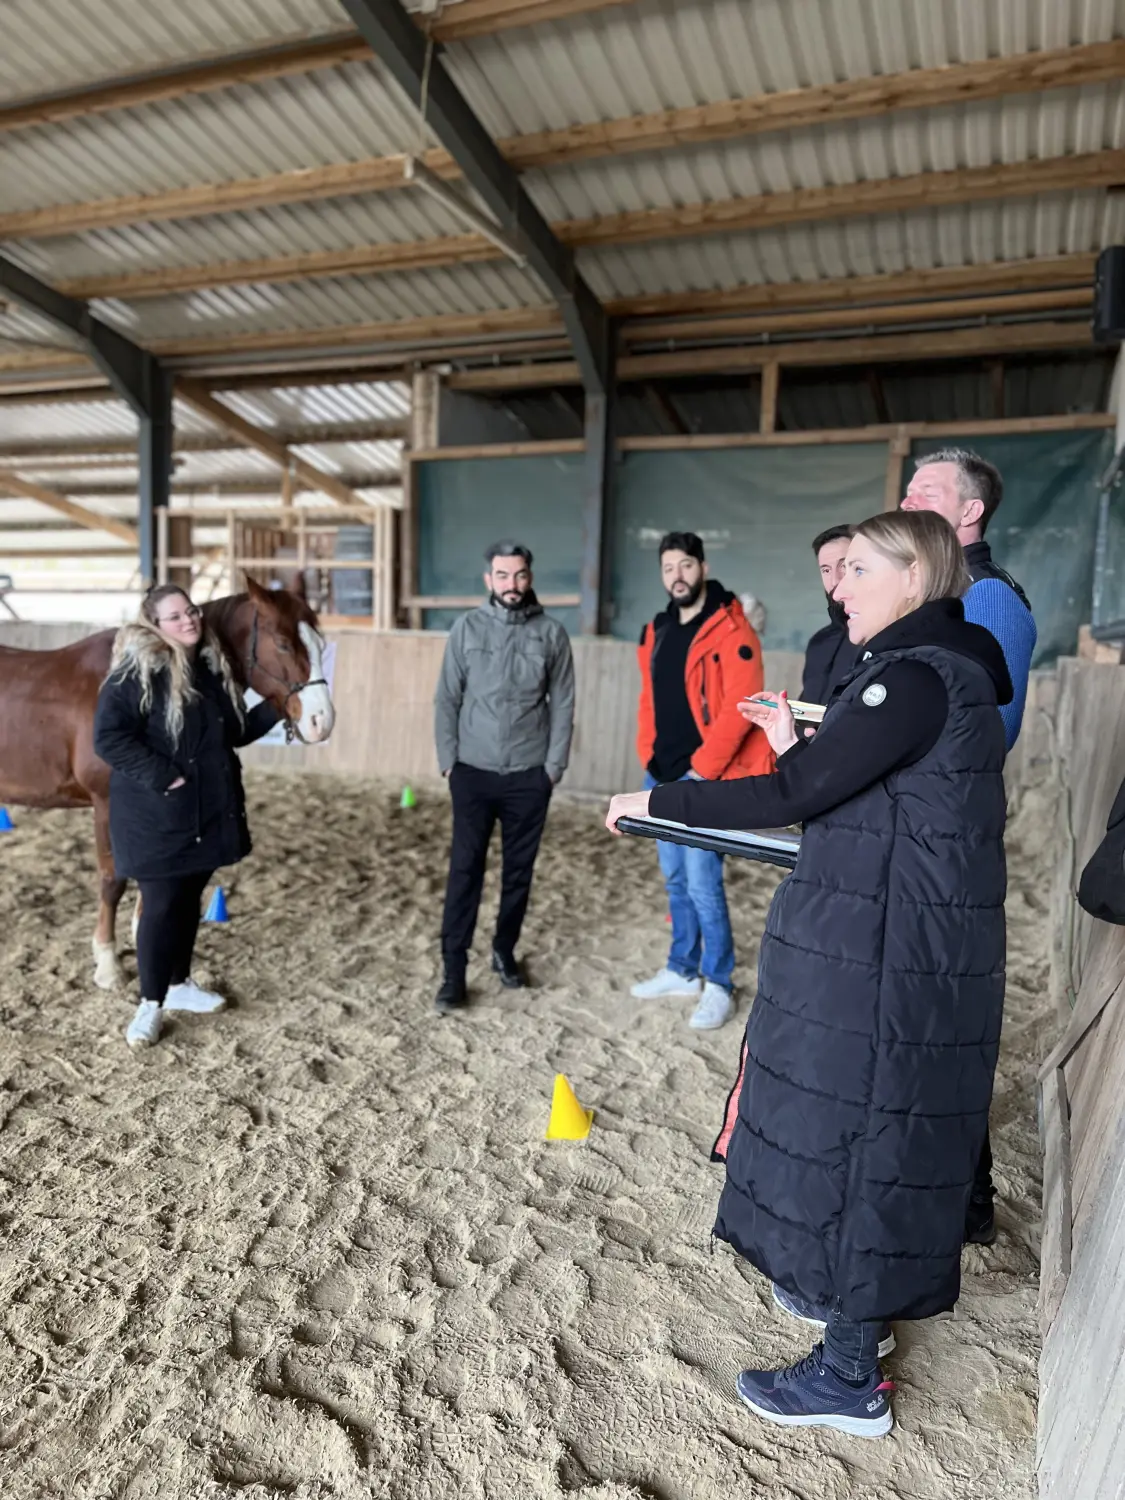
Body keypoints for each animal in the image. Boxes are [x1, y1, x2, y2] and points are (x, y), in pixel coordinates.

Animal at [0, 579, 334, 990]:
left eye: (320, 644)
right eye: (284, 644)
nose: (323, 721)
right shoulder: (106, 806)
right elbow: (113, 881)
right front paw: (108, 964)